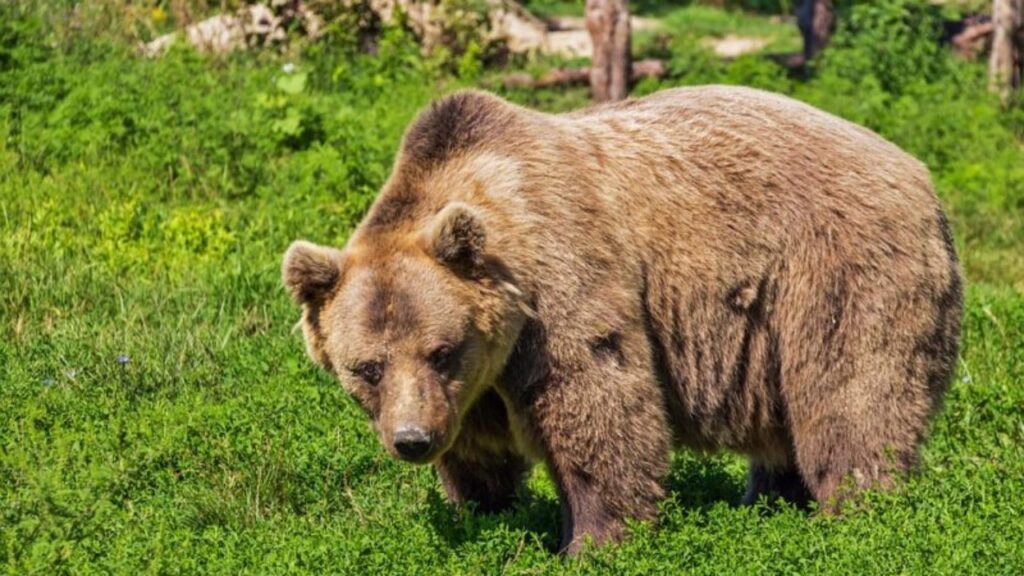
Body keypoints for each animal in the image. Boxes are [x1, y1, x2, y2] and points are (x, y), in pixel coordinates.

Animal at [282, 86, 963, 553]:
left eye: (440, 350)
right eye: (367, 367)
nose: (412, 440)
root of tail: (920, 174)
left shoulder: (560, 286)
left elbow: (598, 402)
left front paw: (592, 540)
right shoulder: (473, 384)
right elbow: (478, 450)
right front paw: (485, 511)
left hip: (836, 271)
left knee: (851, 396)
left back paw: (858, 511)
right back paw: (770, 501)